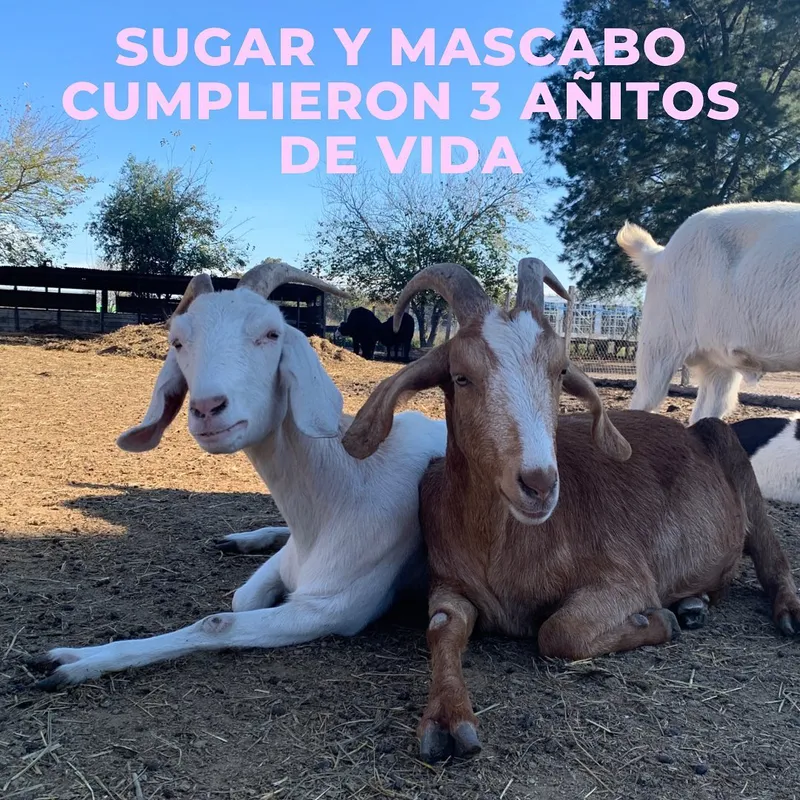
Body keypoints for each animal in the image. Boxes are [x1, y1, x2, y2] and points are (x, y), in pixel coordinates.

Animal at [29, 261, 446, 690]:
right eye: (178, 342)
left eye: (272, 333)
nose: (208, 409)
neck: (341, 489)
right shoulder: (287, 563)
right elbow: (240, 599)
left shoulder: (331, 608)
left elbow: (218, 622)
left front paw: (75, 662)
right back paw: (243, 539)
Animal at [342, 260, 800, 764]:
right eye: (461, 377)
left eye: (560, 372)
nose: (539, 484)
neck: (502, 546)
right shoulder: (448, 583)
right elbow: (441, 628)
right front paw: (446, 719)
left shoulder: (626, 576)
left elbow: (558, 632)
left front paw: (658, 621)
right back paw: (694, 603)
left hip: (729, 447)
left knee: (772, 556)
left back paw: (782, 613)